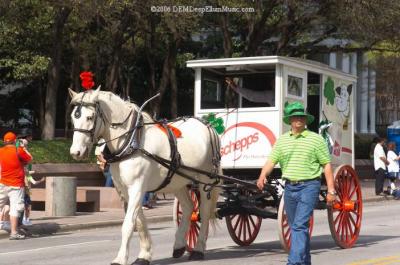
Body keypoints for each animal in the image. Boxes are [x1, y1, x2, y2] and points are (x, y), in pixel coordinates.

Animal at [68, 87, 219, 264]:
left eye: (90, 117)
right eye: (73, 117)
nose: (75, 152)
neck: (131, 141)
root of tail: (207, 125)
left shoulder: (137, 187)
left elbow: (128, 224)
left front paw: (121, 258)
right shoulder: (125, 190)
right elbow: (139, 222)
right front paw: (144, 254)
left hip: (206, 180)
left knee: (205, 210)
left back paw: (198, 249)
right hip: (177, 181)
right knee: (189, 208)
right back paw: (179, 245)